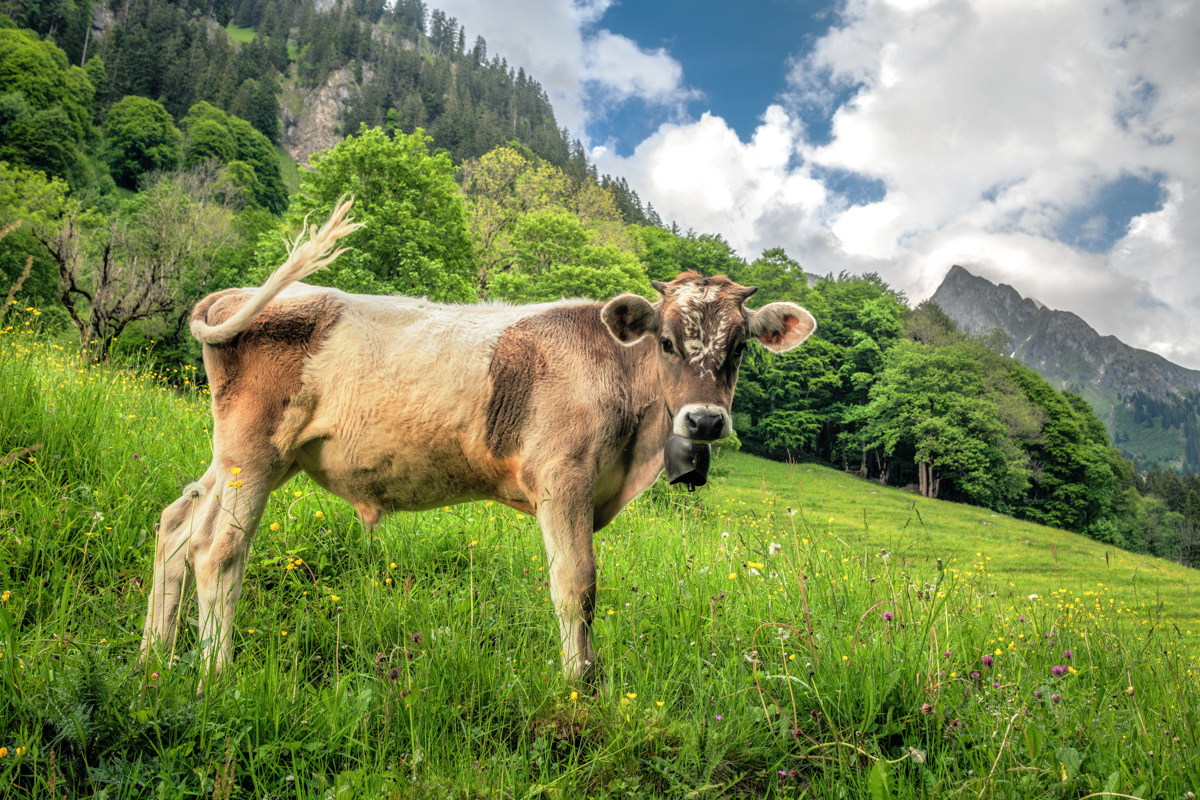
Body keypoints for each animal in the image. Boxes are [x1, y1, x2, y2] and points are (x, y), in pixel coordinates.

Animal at [140, 199, 816, 683]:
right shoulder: (562, 478)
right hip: (252, 453)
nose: (704, 421)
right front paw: (579, 684)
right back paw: (214, 675)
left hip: (250, 456)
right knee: (217, 549)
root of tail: (232, 295)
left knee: (176, 523)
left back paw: (154, 659)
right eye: (668, 342)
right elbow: (576, 584)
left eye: (739, 348)